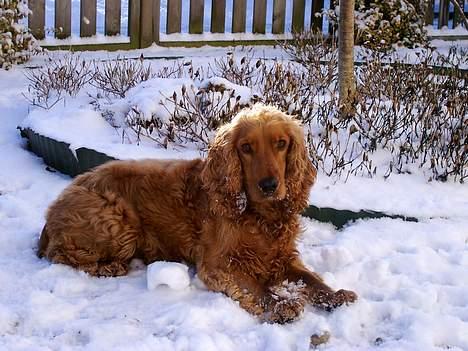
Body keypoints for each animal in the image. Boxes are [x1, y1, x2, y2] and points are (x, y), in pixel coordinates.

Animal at [37, 105, 358, 324]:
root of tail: (52, 212)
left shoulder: (281, 256)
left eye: (281, 144)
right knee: (60, 253)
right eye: (246, 148)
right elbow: (256, 287)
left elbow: (310, 279)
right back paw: (109, 267)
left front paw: (334, 295)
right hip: (118, 219)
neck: (258, 215)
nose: (269, 186)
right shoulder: (218, 264)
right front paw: (281, 304)